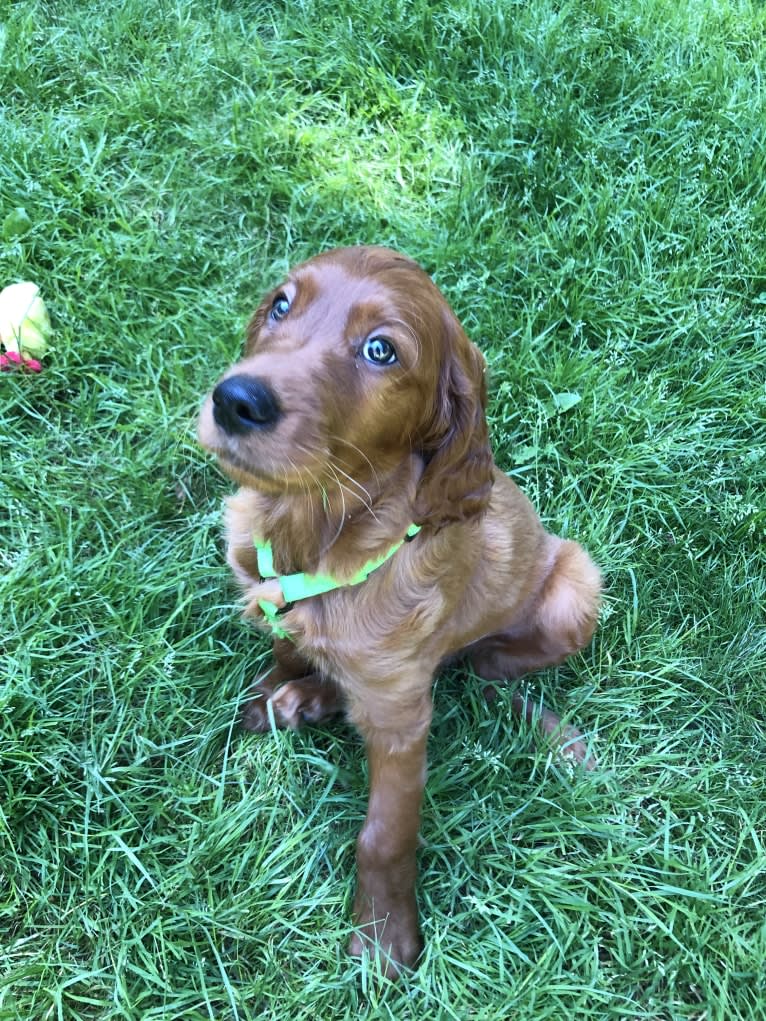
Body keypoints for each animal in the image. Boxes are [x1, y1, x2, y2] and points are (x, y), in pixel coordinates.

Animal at [199, 242, 604, 976]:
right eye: (281, 304)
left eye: (381, 350)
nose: (237, 399)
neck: (317, 530)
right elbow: (284, 645)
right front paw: (274, 693)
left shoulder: (399, 717)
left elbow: (384, 834)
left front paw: (385, 940)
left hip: (574, 586)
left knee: (479, 670)